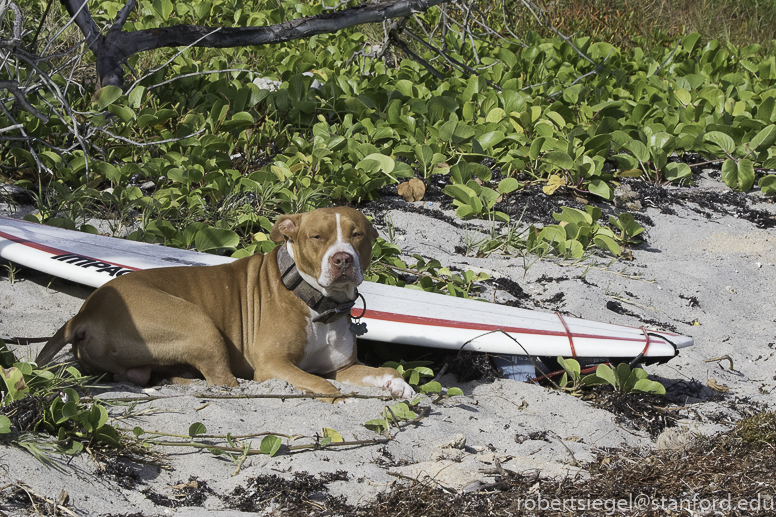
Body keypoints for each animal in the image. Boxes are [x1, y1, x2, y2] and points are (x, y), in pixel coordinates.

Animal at [36, 207, 415, 402]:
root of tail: (86, 312)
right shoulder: (274, 364)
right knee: (224, 381)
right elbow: (324, 384)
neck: (320, 304)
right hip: (198, 323)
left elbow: (381, 371)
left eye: (357, 235)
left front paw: (399, 385)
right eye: (317, 236)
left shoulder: (344, 367)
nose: (343, 260)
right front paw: (337, 396)